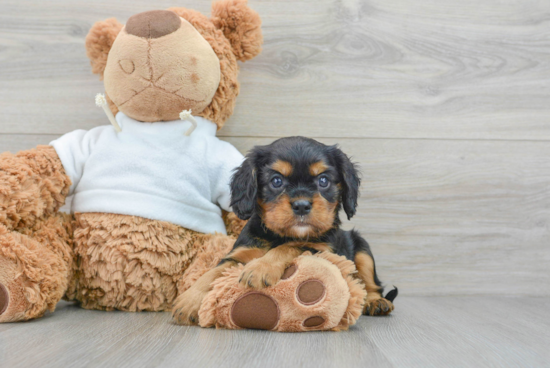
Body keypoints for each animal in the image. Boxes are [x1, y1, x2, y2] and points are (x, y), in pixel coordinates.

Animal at [175, 137, 398, 324]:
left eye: (323, 180)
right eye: (276, 181)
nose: (301, 205)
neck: (279, 236)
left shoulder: (323, 251)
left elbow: (290, 247)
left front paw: (261, 267)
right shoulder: (239, 254)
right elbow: (212, 273)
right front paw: (190, 300)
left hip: (362, 249)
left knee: (372, 284)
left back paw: (376, 302)